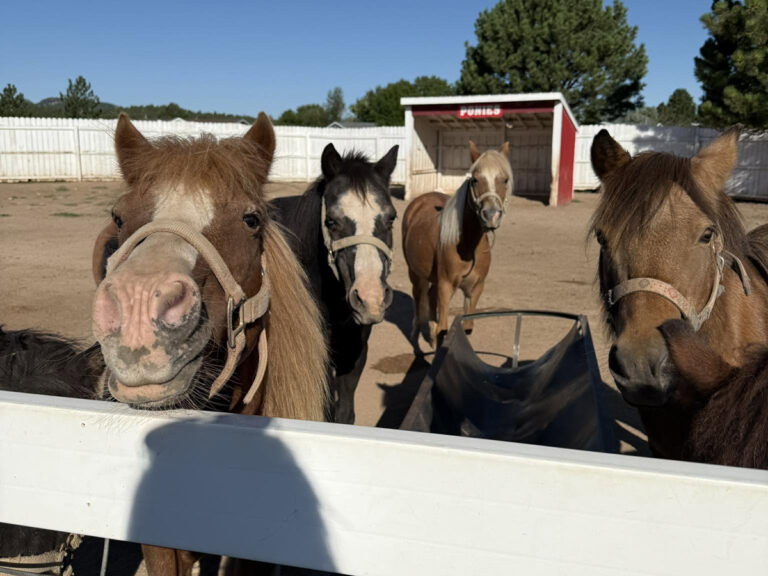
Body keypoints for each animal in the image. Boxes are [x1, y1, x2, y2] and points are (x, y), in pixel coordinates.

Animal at [402, 140, 512, 348]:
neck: (468, 247)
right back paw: (415, 332)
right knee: (418, 298)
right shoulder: (446, 286)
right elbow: (444, 327)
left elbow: (466, 327)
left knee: (429, 297)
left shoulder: (475, 289)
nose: (491, 215)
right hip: (415, 273)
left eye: (505, 180)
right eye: (475, 179)